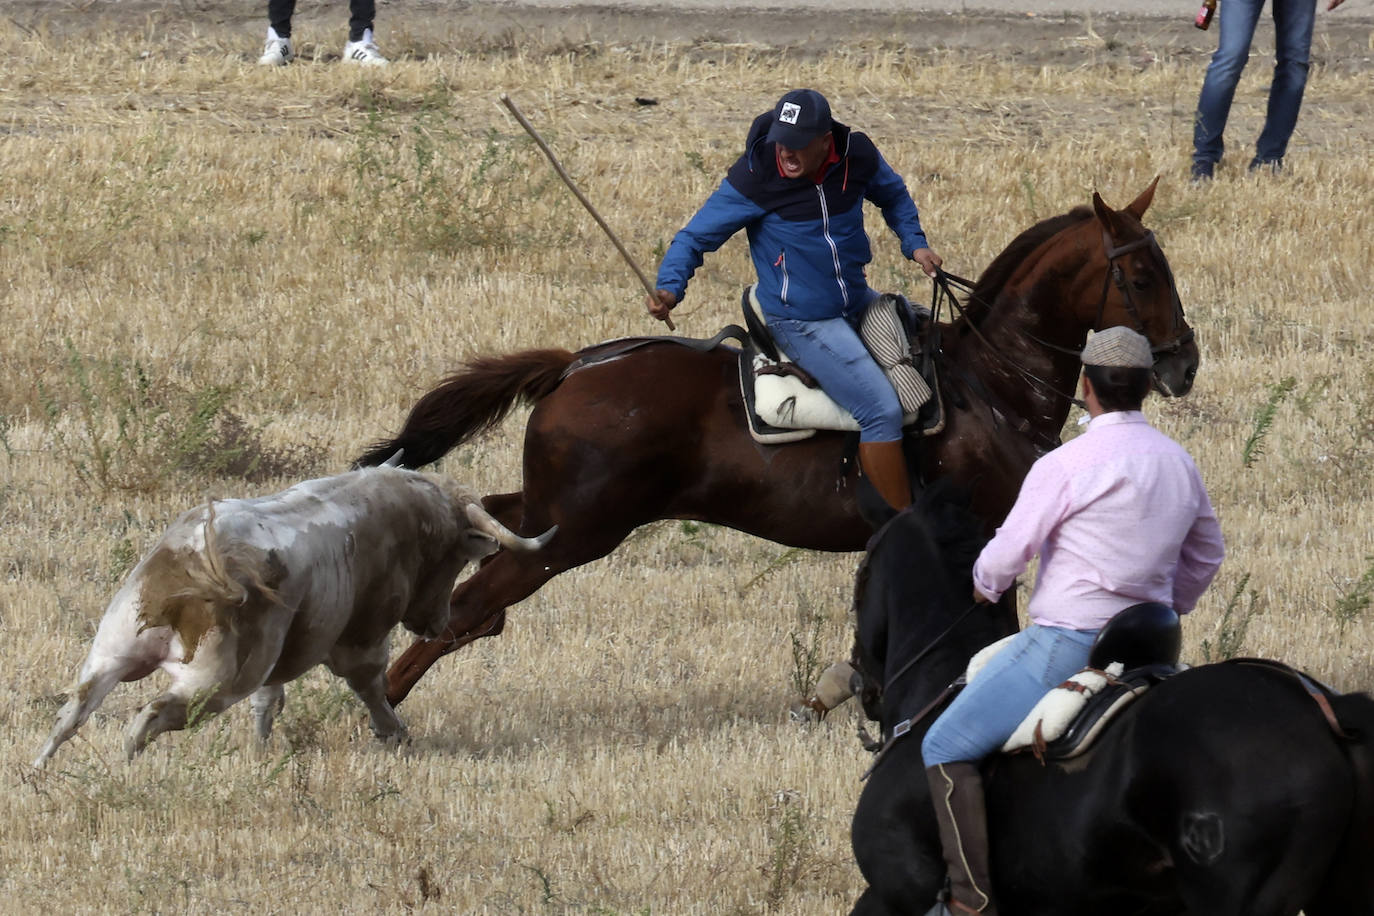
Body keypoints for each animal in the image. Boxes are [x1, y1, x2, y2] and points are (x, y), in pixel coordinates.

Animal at [33, 466, 546, 769]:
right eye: (456, 557)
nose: (437, 624)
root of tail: (200, 557)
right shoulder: (361, 639)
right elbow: (370, 685)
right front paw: (394, 733)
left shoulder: (277, 663)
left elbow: (268, 701)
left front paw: (261, 752)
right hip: (216, 682)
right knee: (150, 715)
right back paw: (127, 765)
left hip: (113, 651)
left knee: (73, 711)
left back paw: (38, 769)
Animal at [359, 182, 1198, 708]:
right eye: (1142, 276)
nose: (1183, 362)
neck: (986, 379)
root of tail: (578, 365)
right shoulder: (988, 533)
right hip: (577, 532)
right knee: (472, 605)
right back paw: (387, 707)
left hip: (550, 513)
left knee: (486, 533)